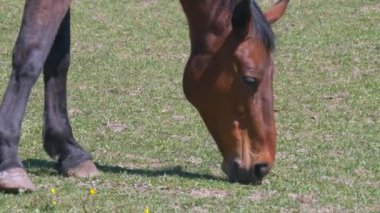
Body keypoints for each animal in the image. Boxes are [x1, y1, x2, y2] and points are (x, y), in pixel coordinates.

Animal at [0, 0, 288, 192]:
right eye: (250, 79)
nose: (262, 166)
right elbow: (32, 53)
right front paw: (10, 163)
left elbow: (58, 59)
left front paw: (69, 150)